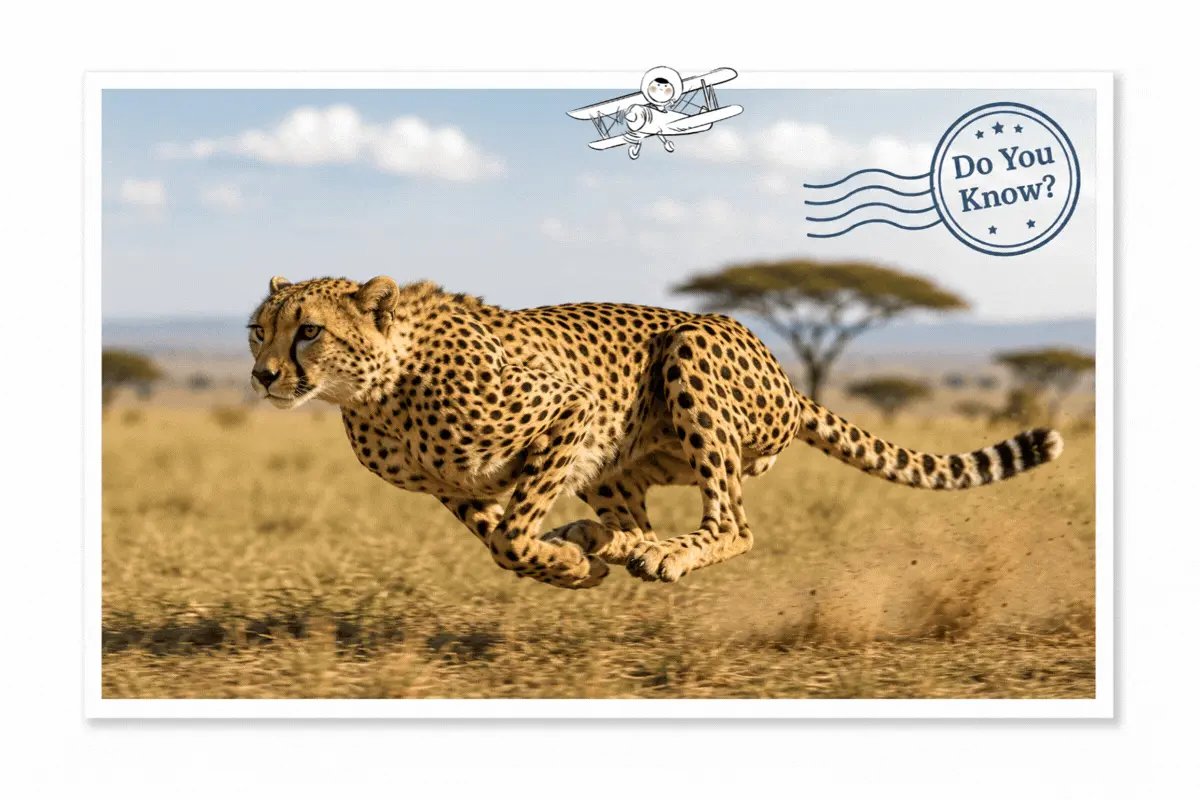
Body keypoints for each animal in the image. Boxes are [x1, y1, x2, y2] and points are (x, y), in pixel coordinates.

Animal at [247, 275, 1064, 590]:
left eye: (309, 331)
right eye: (258, 330)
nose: (260, 375)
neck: (378, 391)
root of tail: (789, 379)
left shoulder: (574, 411)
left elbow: (512, 533)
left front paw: (563, 562)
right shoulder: (456, 485)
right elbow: (501, 538)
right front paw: (569, 563)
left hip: (693, 352)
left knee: (733, 522)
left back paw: (661, 552)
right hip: (618, 466)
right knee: (637, 520)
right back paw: (609, 541)